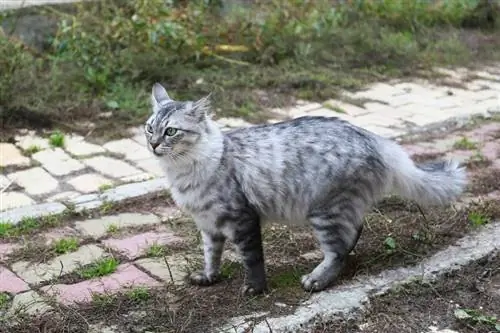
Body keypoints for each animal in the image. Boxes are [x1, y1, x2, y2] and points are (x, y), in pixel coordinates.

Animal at [145, 82, 468, 294]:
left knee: (337, 249)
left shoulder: (243, 219)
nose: (153, 144)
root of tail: (376, 139)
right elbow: (211, 255)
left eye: (171, 131)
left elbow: (252, 259)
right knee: (353, 233)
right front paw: (208, 277)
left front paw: (255, 289)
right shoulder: (208, 225)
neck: (184, 171)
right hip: (337, 209)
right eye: (150, 128)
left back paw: (317, 280)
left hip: (324, 210)